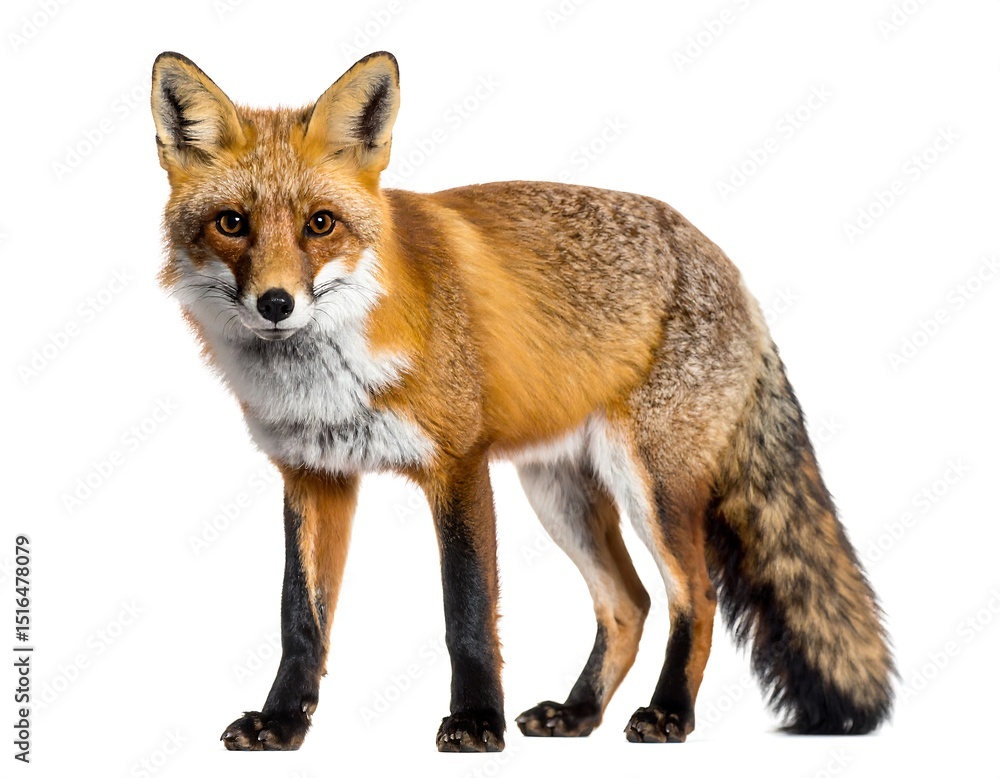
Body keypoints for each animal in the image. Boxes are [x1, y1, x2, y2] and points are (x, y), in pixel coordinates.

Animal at [150, 50, 894, 752]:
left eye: (320, 224)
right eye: (232, 223)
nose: (275, 304)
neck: (331, 376)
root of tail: (728, 265)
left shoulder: (458, 464)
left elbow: (468, 612)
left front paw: (477, 722)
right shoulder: (313, 473)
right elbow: (300, 620)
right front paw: (281, 724)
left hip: (651, 483)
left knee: (695, 595)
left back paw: (668, 714)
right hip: (559, 491)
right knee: (629, 603)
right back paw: (579, 712)